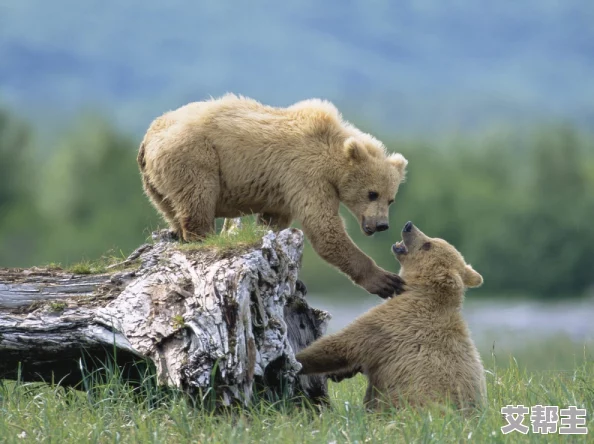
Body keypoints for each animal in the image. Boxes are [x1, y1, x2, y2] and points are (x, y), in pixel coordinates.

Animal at [138, 93, 408, 298]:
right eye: (372, 193)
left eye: (391, 199)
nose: (381, 224)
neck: (332, 155)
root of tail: (147, 138)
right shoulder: (306, 175)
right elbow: (324, 229)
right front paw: (386, 280)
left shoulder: (283, 190)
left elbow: (274, 222)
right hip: (194, 156)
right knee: (198, 198)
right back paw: (203, 237)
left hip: (156, 184)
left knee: (172, 208)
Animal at [296, 220, 486, 412]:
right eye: (432, 240)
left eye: (428, 244)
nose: (409, 226)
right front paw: (339, 373)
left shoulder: (391, 325)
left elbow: (342, 345)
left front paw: (299, 360)